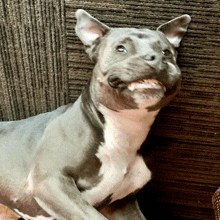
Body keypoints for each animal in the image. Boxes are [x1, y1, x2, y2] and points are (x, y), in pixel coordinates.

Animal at [0, 9, 190, 219]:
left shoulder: (122, 205)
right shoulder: (49, 181)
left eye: (166, 52)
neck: (125, 127)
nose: (155, 57)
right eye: (121, 48)